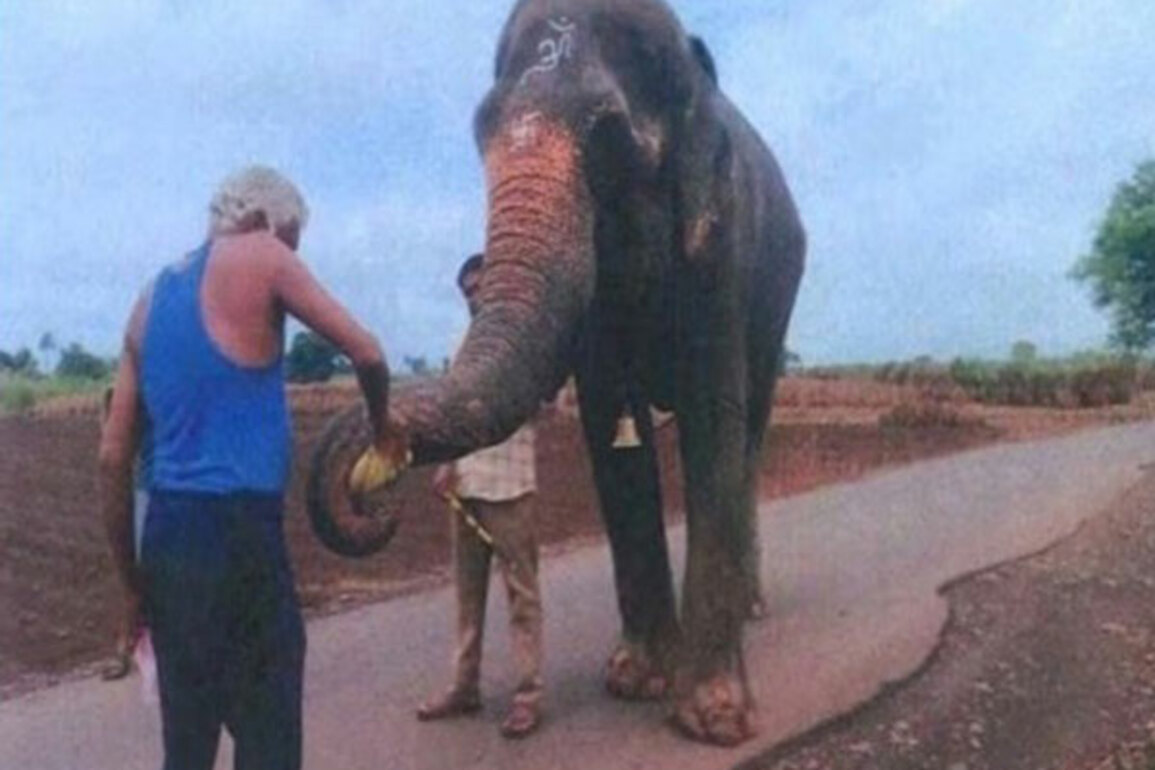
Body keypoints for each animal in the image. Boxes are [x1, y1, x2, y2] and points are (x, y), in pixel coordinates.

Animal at [307, 0, 805, 746]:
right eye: (480, 129)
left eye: (608, 138)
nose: (373, 472)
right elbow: (608, 431)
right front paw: (633, 682)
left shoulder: (723, 247)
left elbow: (713, 418)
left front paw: (713, 720)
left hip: (780, 292)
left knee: (750, 432)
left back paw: (751, 608)